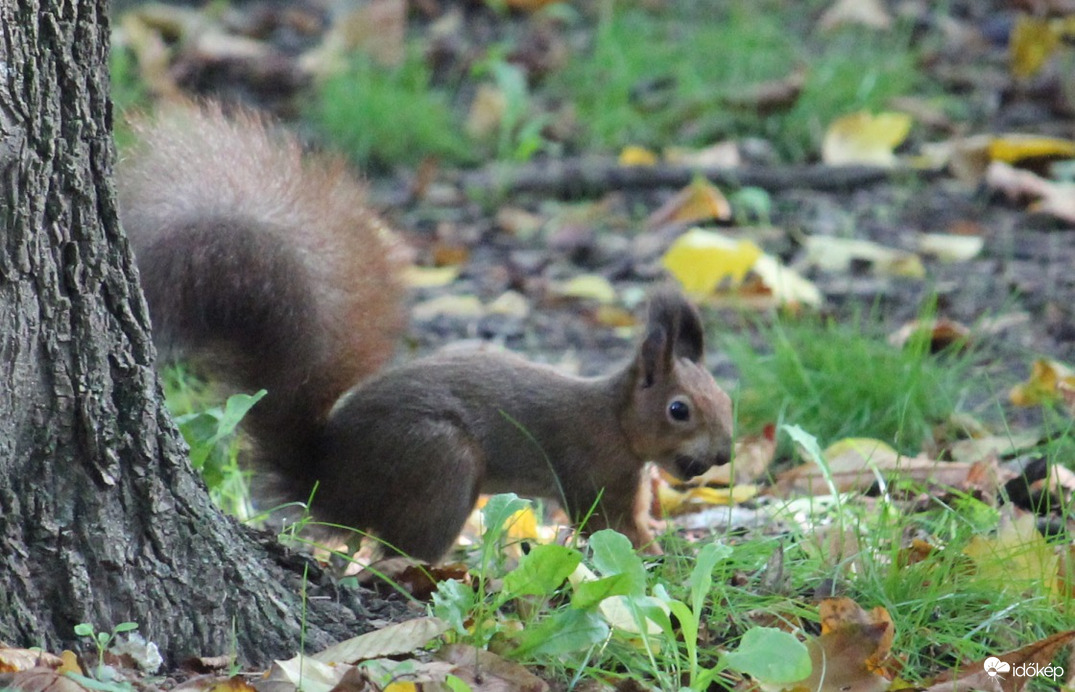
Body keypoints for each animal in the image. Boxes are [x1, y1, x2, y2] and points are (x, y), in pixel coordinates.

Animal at [119, 104, 739, 567]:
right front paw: (662, 556)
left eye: (726, 399)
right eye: (679, 410)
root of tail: (329, 483)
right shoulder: (595, 473)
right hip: (441, 466)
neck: (614, 418)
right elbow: (613, 527)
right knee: (398, 555)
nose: (725, 454)